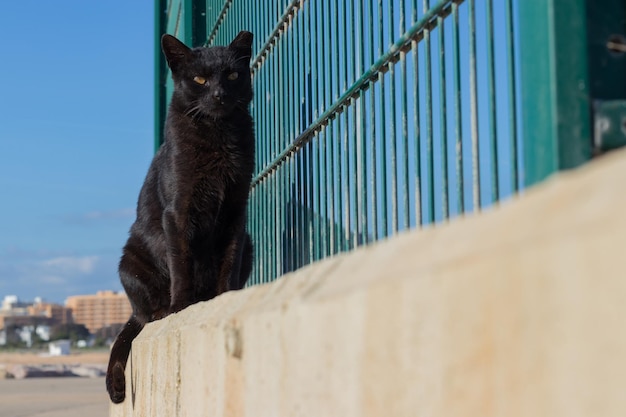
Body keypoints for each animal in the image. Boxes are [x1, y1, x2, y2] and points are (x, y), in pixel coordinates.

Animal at [105, 30, 254, 404]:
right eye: (200, 79)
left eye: (232, 75)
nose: (219, 94)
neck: (218, 137)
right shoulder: (178, 210)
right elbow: (181, 263)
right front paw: (181, 307)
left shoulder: (236, 211)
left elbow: (228, 261)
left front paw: (222, 297)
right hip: (129, 262)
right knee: (144, 313)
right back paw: (161, 310)